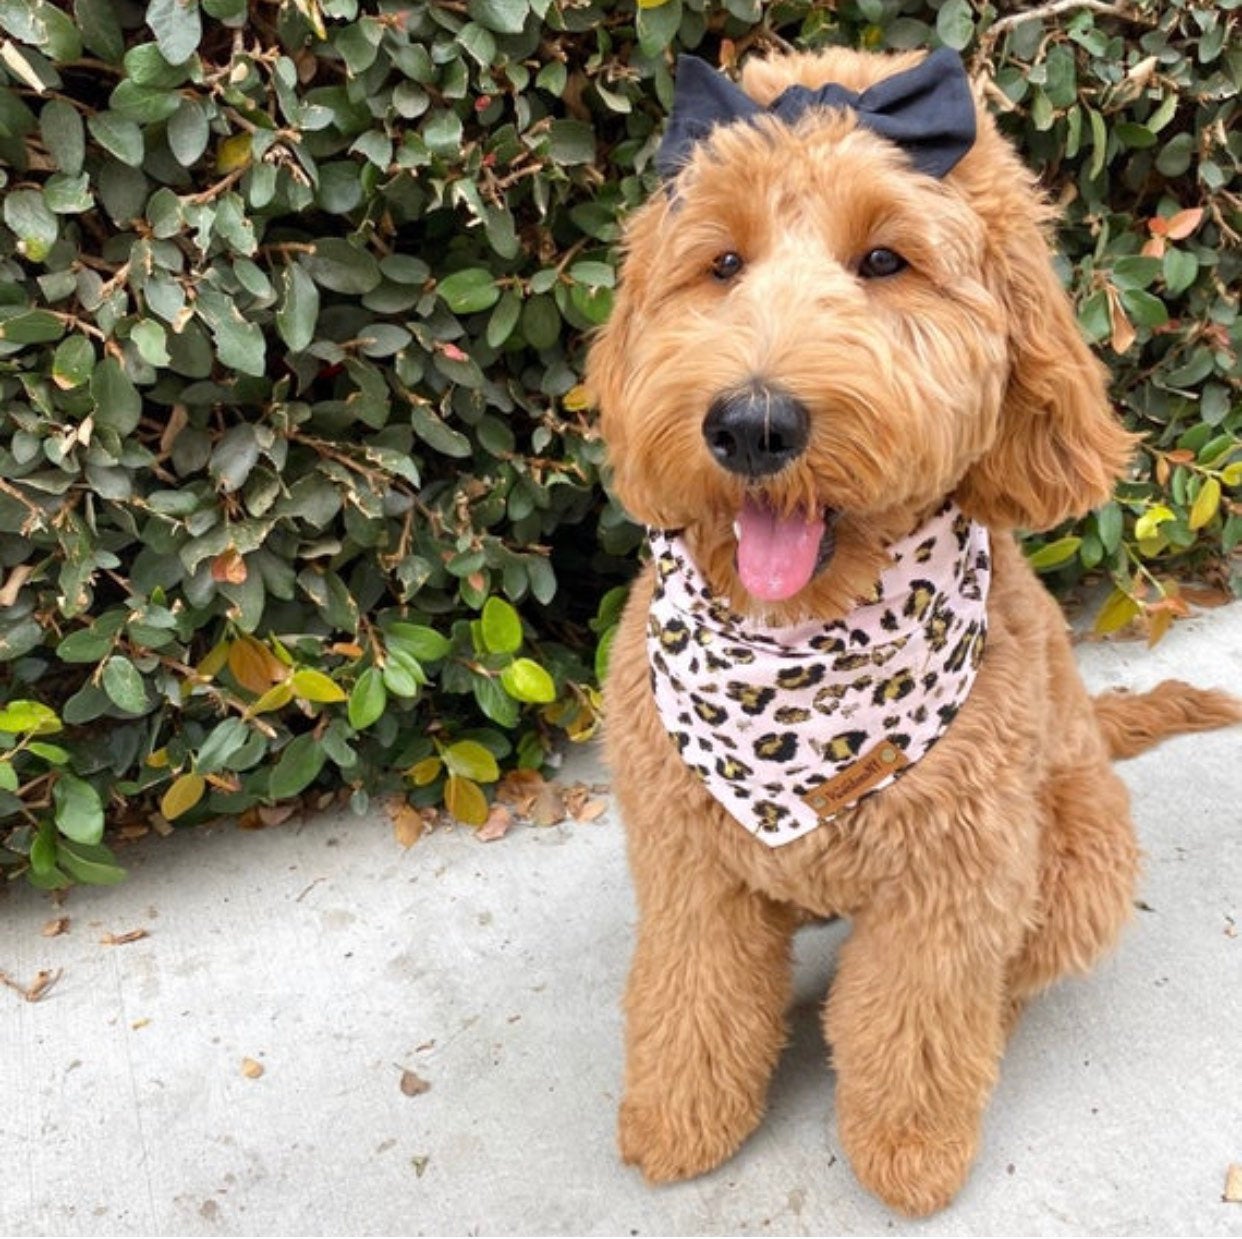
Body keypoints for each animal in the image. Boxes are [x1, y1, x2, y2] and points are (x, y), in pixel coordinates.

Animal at [583, 48, 1242, 1221]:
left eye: (885, 260)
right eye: (722, 262)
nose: (752, 424)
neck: (804, 652)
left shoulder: (957, 876)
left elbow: (915, 1017)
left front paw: (909, 1146)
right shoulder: (687, 861)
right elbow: (692, 988)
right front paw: (680, 1114)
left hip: (1080, 853)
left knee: (1010, 969)